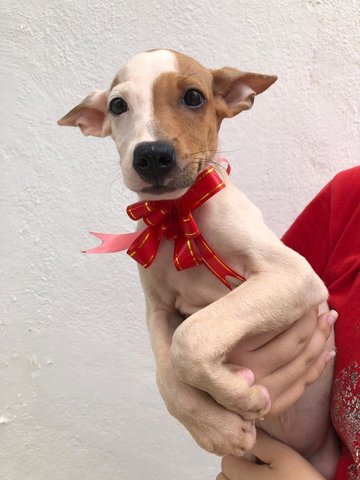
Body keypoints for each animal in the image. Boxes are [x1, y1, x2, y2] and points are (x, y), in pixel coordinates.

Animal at [59, 48, 338, 476]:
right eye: (118, 105)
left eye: (194, 97)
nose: (152, 155)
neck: (177, 215)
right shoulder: (157, 309)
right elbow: (166, 370)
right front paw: (216, 428)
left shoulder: (292, 274)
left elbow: (190, 338)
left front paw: (240, 395)